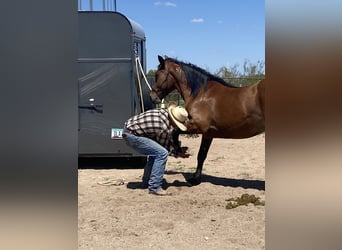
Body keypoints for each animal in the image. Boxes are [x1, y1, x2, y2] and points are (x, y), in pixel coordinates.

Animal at [150, 56, 264, 186]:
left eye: (157, 75)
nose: (152, 96)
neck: (201, 94)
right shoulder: (208, 134)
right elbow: (201, 155)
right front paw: (195, 179)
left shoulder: (198, 127)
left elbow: (175, 132)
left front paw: (179, 151)